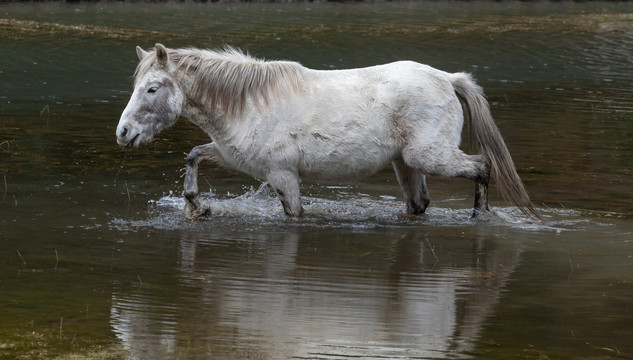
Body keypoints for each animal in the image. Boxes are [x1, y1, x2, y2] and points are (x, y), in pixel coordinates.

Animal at [115, 45, 540, 219]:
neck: (251, 102)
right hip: (406, 163)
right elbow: (194, 155)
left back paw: (480, 217)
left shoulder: (282, 176)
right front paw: (197, 206)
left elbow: (295, 213)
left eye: (151, 89)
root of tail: (448, 79)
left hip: (429, 156)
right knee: (419, 204)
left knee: (482, 166)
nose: (123, 132)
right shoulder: (233, 157)